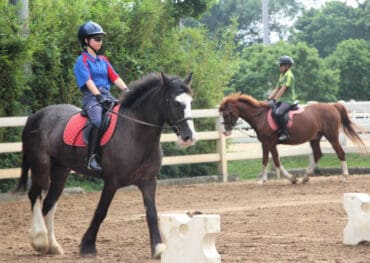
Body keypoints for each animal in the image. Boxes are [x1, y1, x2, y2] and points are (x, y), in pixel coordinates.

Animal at [15, 73, 197, 258]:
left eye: (190, 102)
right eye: (175, 102)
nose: (189, 137)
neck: (135, 132)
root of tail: (35, 116)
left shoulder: (148, 182)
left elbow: (152, 213)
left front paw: (158, 248)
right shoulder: (112, 182)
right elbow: (101, 212)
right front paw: (87, 246)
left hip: (61, 171)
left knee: (49, 202)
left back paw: (52, 246)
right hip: (41, 166)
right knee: (35, 196)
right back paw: (40, 241)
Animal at [218, 94, 366, 185]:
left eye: (226, 114)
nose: (226, 131)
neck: (260, 116)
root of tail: (332, 105)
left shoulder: (267, 142)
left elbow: (267, 160)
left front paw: (263, 180)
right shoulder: (270, 143)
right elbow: (275, 160)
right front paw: (290, 178)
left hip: (332, 136)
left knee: (340, 153)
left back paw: (344, 176)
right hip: (315, 138)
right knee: (318, 154)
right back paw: (305, 177)